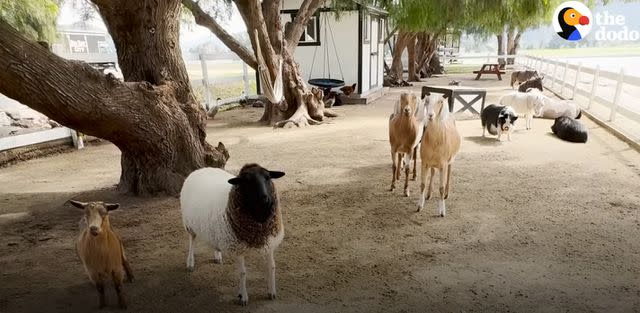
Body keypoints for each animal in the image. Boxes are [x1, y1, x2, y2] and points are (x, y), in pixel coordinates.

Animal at [182, 163, 288, 304]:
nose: (265, 198)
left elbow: (271, 267)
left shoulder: (270, 241)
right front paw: (243, 296)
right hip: (189, 224)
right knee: (191, 241)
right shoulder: (238, 246)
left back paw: (217, 255)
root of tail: (201, 169)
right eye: (247, 181)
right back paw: (190, 262)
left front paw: (272, 292)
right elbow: (242, 273)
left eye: (268, 177)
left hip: (214, 228)